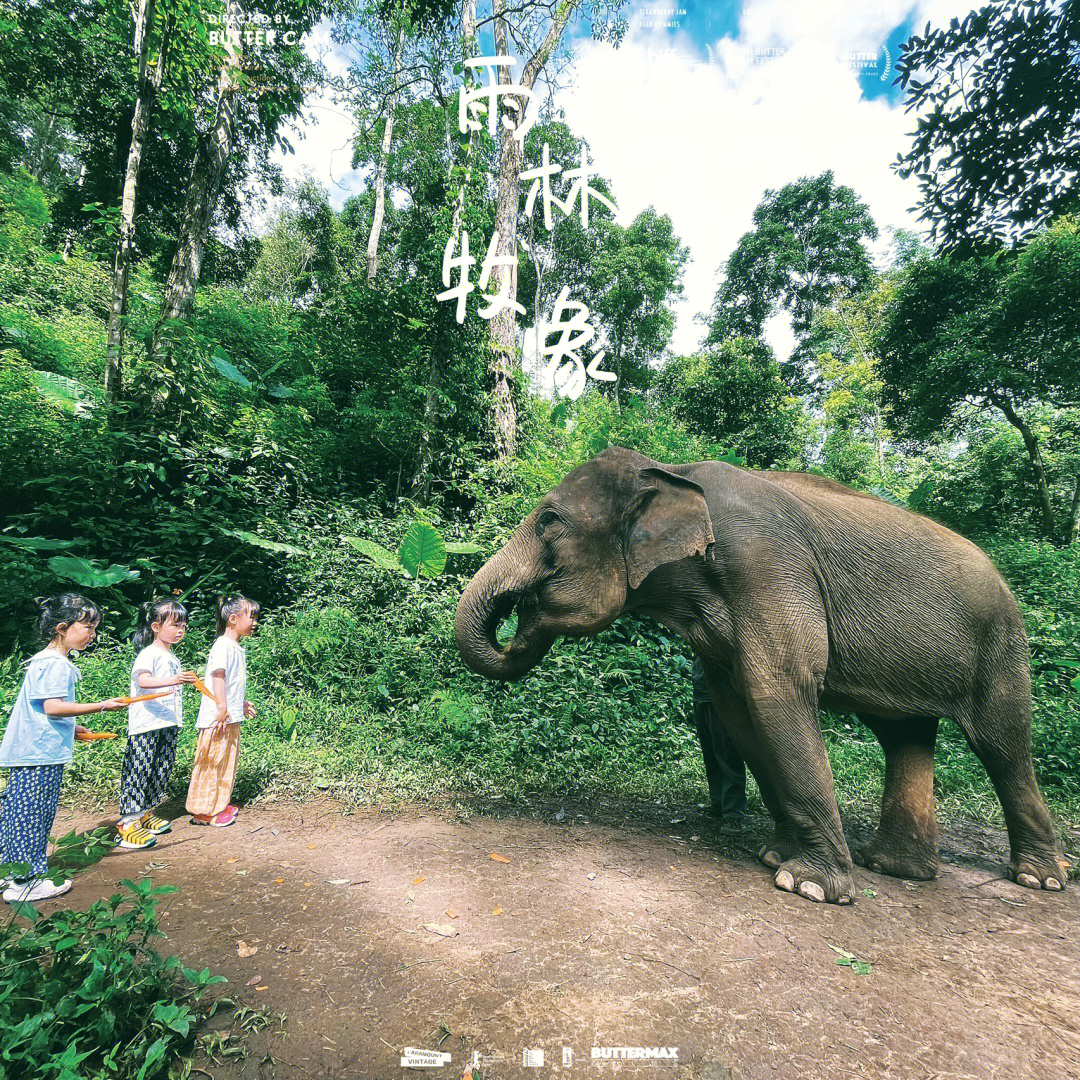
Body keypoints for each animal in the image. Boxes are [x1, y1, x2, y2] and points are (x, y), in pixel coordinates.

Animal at [451, 444, 1067, 902]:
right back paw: (894, 868)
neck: (671, 472)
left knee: (1003, 745)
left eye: (549, 521)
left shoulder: (767, 569)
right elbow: (738, 711)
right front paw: (778, 856)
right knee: (905, 737)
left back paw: (1039, 879)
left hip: (1001, 643)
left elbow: (778, 694)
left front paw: (809, 886)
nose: (519, 612)